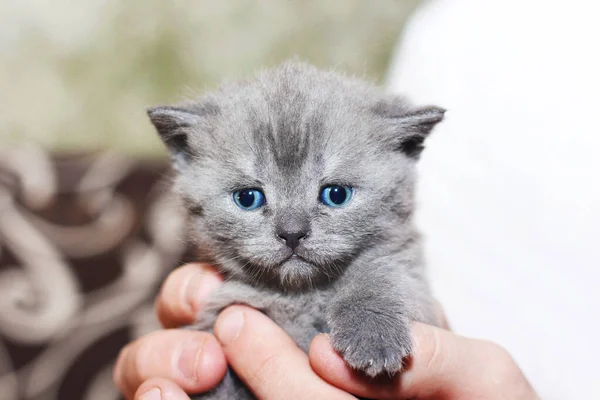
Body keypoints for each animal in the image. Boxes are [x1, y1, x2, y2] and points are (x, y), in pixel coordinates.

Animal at [147, 61, 442, 398]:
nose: (292, 233)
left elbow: (381, 272)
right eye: (248, 197)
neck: (301, 296)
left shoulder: (410, 270)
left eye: (336, 194)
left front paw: (373, 334)